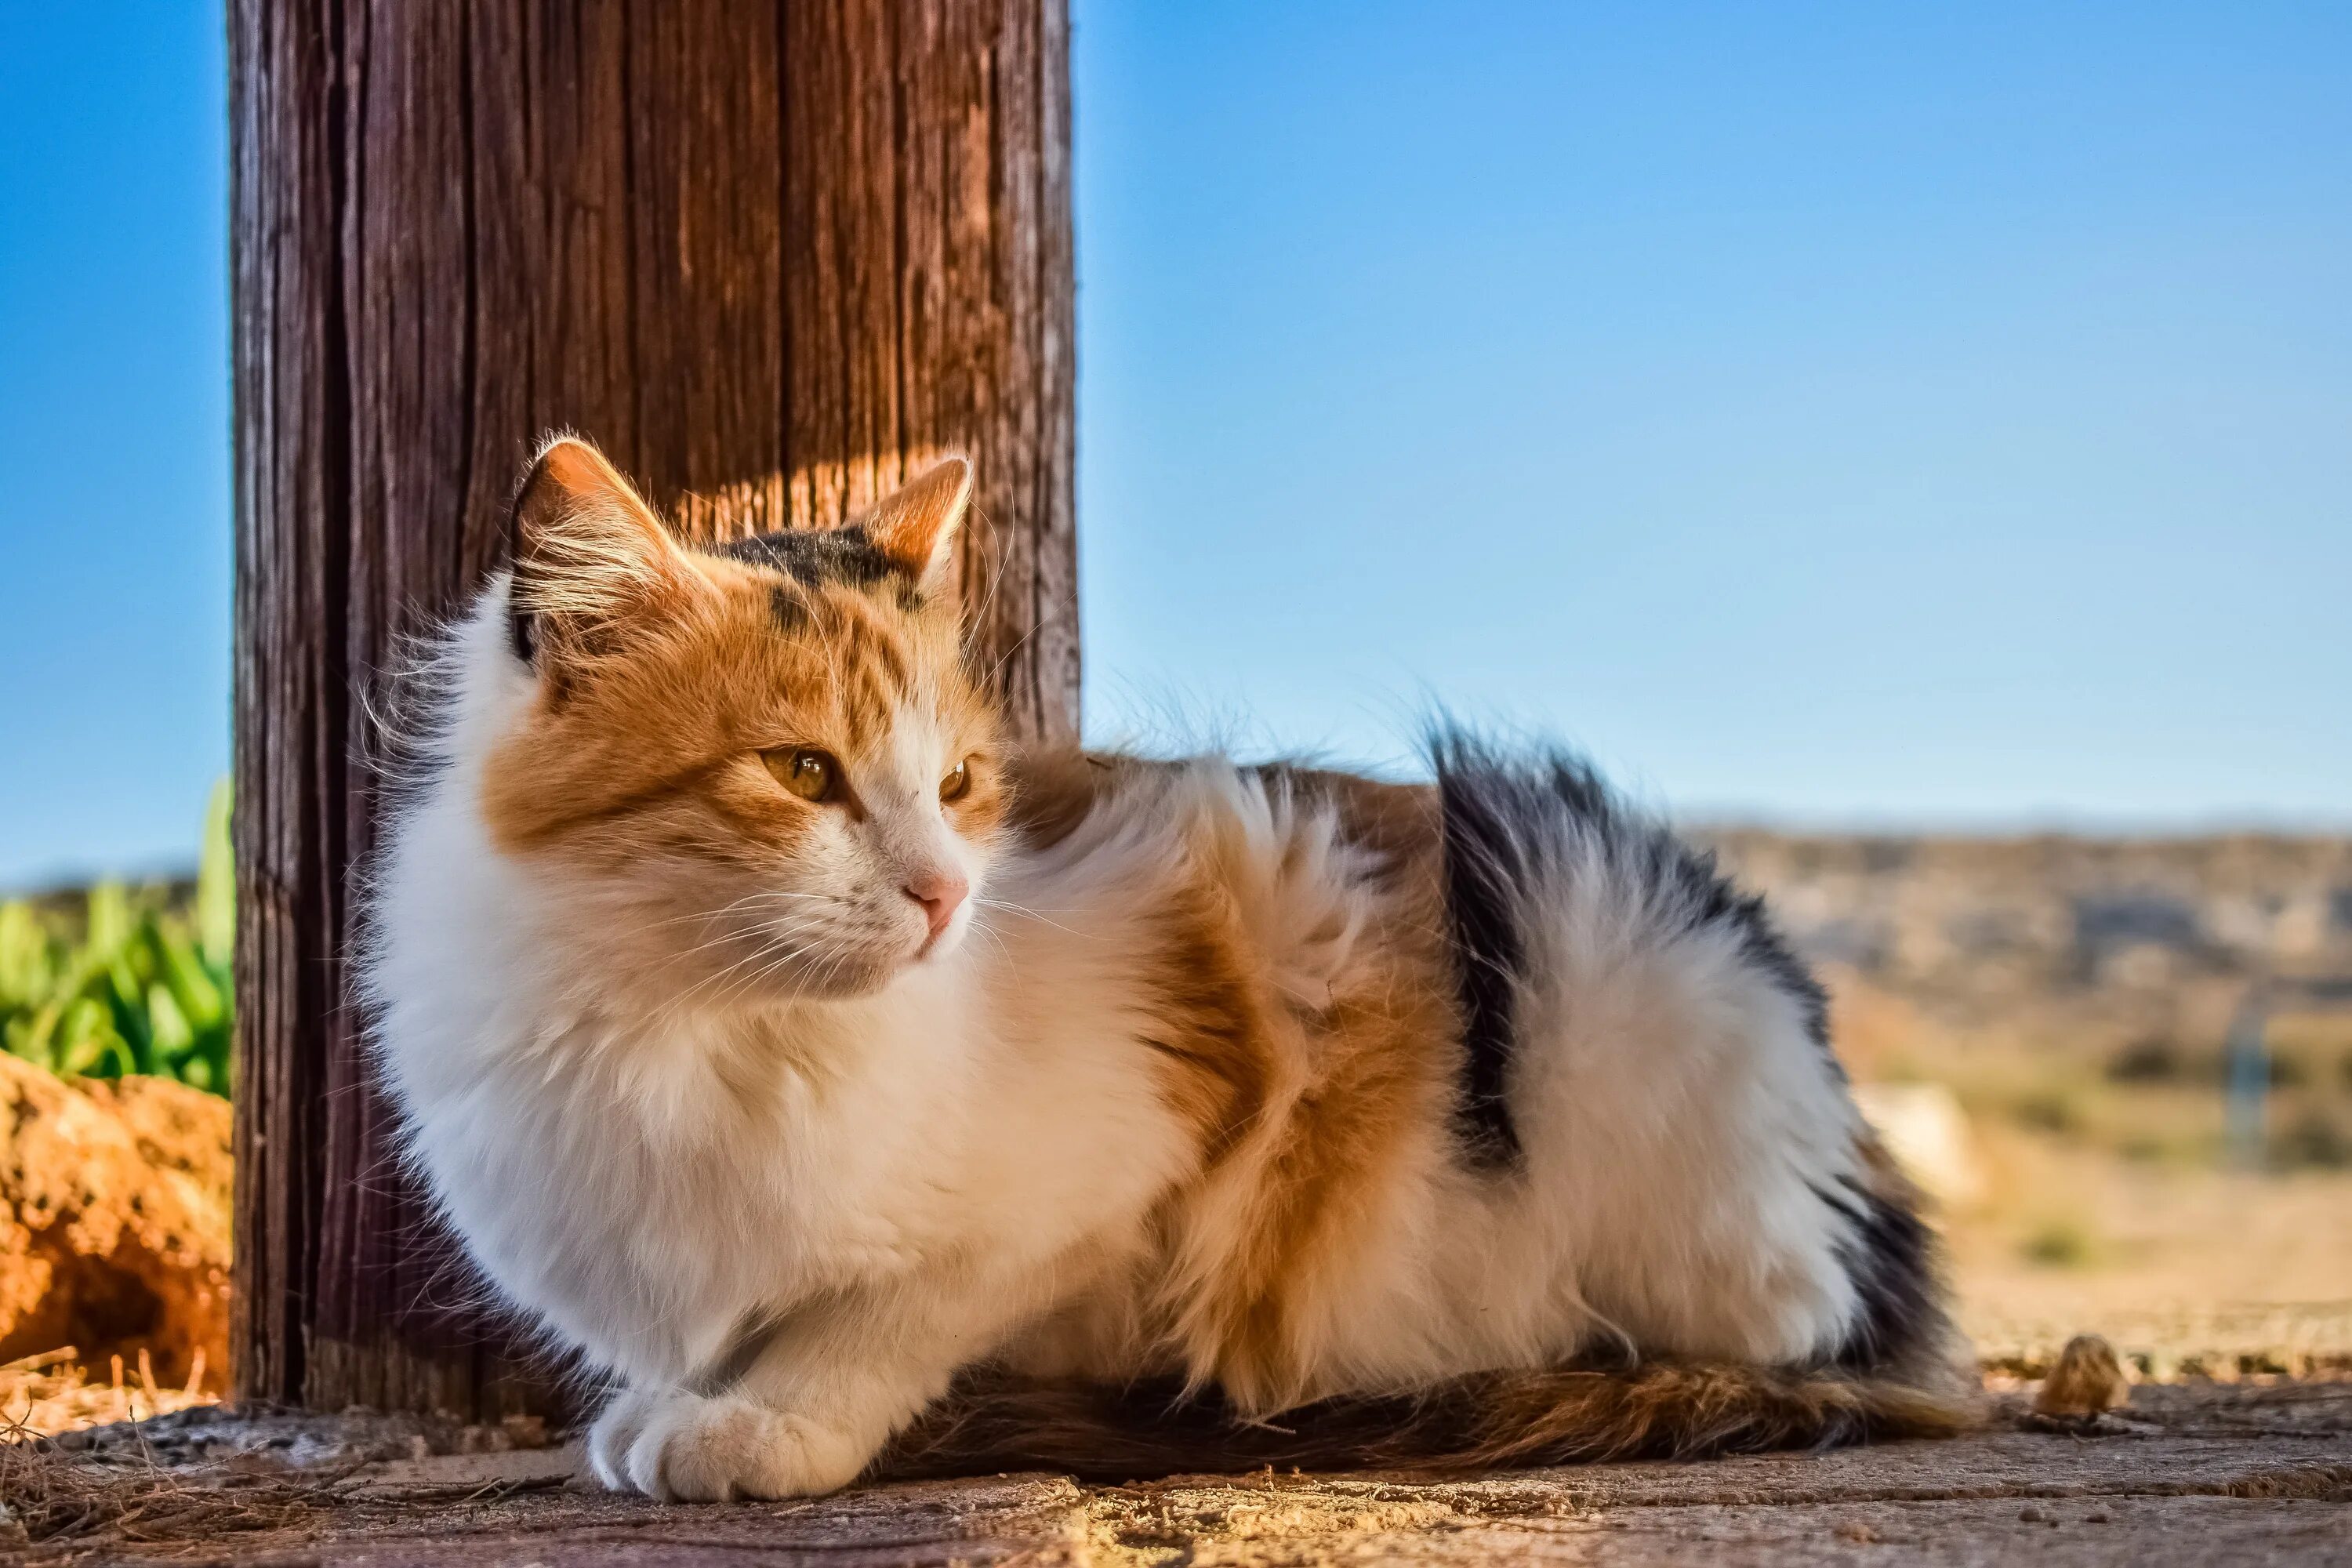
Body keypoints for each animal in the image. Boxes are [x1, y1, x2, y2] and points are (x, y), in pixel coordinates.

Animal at [362, 434, 1985, 1504]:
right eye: (803, 772)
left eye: (958, 783)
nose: (946, 896)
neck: (689, 1023)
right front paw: (673, 1399)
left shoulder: (1138, 1136)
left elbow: (886, 1314)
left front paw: (764, 1425)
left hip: (1592, 941)